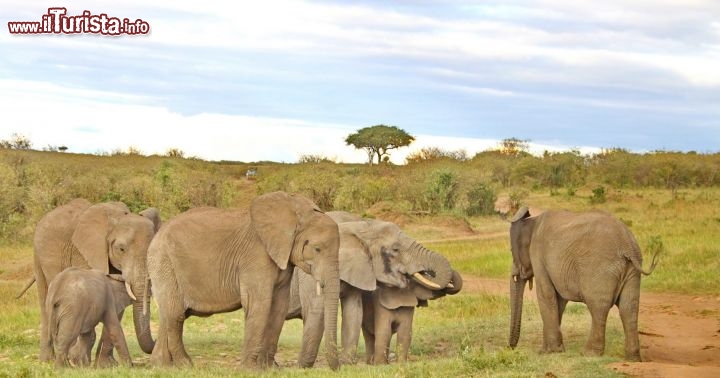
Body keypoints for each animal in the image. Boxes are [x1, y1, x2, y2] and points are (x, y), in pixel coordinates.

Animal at [23, 201, 160, 364]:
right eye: (121, 249)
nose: (156, 340)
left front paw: (106, 365)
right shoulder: (84, 252)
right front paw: (77, 359)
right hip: (40, 254)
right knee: (45, 300)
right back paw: (50, 361)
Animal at [148, 192, 342, 370]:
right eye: (317, 249)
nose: (338, 368)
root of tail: (156, 236)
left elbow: (279, 307)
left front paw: (268, 369)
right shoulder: (256, 256)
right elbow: (260, 304)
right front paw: (250, 369)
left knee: (168, 314)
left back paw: (162, 366)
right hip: (164, 263)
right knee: (176, 314)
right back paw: (186, 365)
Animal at [284, 214, 458, 368]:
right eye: (395, 249)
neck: (360, 226)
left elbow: (354, 312)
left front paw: (347, 366)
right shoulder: (311, 269)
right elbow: (316, 312)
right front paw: (303, 368)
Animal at [506, 207, 660, 360]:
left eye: (511, 250)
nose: (511, 348)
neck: (532, 222)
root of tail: (627, 245)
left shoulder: (538, 255)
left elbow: (546, 295)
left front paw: (548, 352)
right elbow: (559, 301)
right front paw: (552, 349)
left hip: (600, 267)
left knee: (598, 306)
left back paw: (588, 353)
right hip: (632, 270)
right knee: (628, 308)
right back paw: (633, 358)